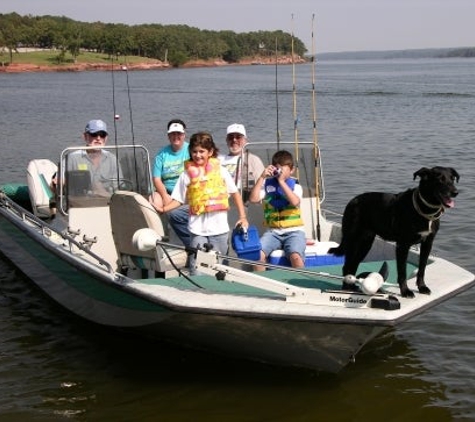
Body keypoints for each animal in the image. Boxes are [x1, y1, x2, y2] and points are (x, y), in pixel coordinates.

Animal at [330, 166, 462, 298]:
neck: (424, 209)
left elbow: (422, 269)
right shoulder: (402, 245)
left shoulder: (427, 244)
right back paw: (346, 289)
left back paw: (352, 287)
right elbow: (402, 271)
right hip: (352, 241)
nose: (455, 192)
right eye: (440, 179)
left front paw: (422, 287)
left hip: (365, 243)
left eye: (452, 179)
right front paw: (405, 291)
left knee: (353, 265)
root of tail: (352, 200)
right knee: (347, 266)